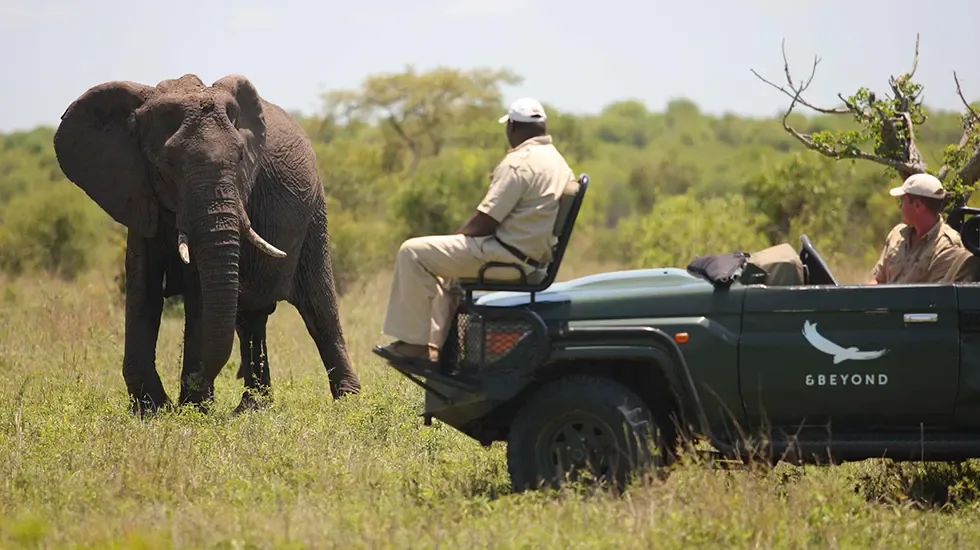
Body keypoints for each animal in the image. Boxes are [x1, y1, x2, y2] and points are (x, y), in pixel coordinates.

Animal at [52, 73, 362, 415]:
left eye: (240, 158)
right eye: (167, 164)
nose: (201, 391)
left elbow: (198, 291)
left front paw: (192, 408)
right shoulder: (138, 193)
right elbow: (142, 287)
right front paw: (152, 409)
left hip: (315, 215)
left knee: (319, 308)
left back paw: (348, 402)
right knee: (251, 320)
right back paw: (253, 406)